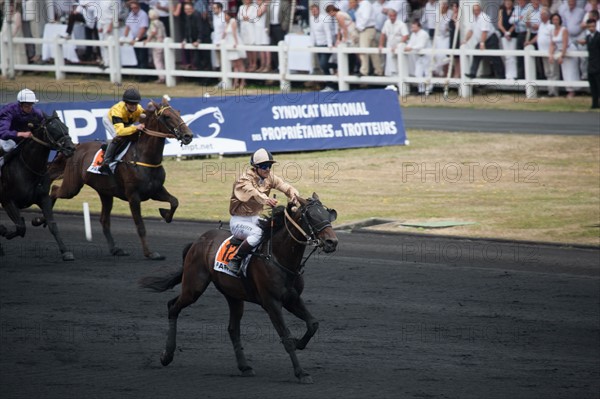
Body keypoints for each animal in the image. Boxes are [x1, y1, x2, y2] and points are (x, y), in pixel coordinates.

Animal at [0, 112, 75, 260]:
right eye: (53, 128)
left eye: (66, 127)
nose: (71, 148)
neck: (28, 169)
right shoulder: (8, 200)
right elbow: (20, 227)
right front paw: (5, 232)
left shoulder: (43, 198)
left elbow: (52, 224)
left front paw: (65, 251)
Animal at [50, 99, 195, 260]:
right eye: (167, 116)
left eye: (178, 113)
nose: (188, 135)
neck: (142, 157)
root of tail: (76, 146)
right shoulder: (133, 197)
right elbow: (140, 226)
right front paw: (150, 253)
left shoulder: (156, 191)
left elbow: (174, 201)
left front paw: (165, 214)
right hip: (72, 186)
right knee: (54, 190)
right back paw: (45, 220)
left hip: (105, 192)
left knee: (104, 220)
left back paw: (115, 249)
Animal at [139, 194, 338, 384]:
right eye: (311, 215)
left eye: (327, 213)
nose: (332, 242)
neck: (278, 257)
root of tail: (197, 241)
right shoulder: (272, 303)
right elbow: (286, 337)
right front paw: (301, 373)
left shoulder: (292, 298)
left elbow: (313, 324)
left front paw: (300, 344)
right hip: (194, 286)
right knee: (173, 307)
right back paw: (166, 355)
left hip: (233, 296)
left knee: (232, 329)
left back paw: (245, 366)